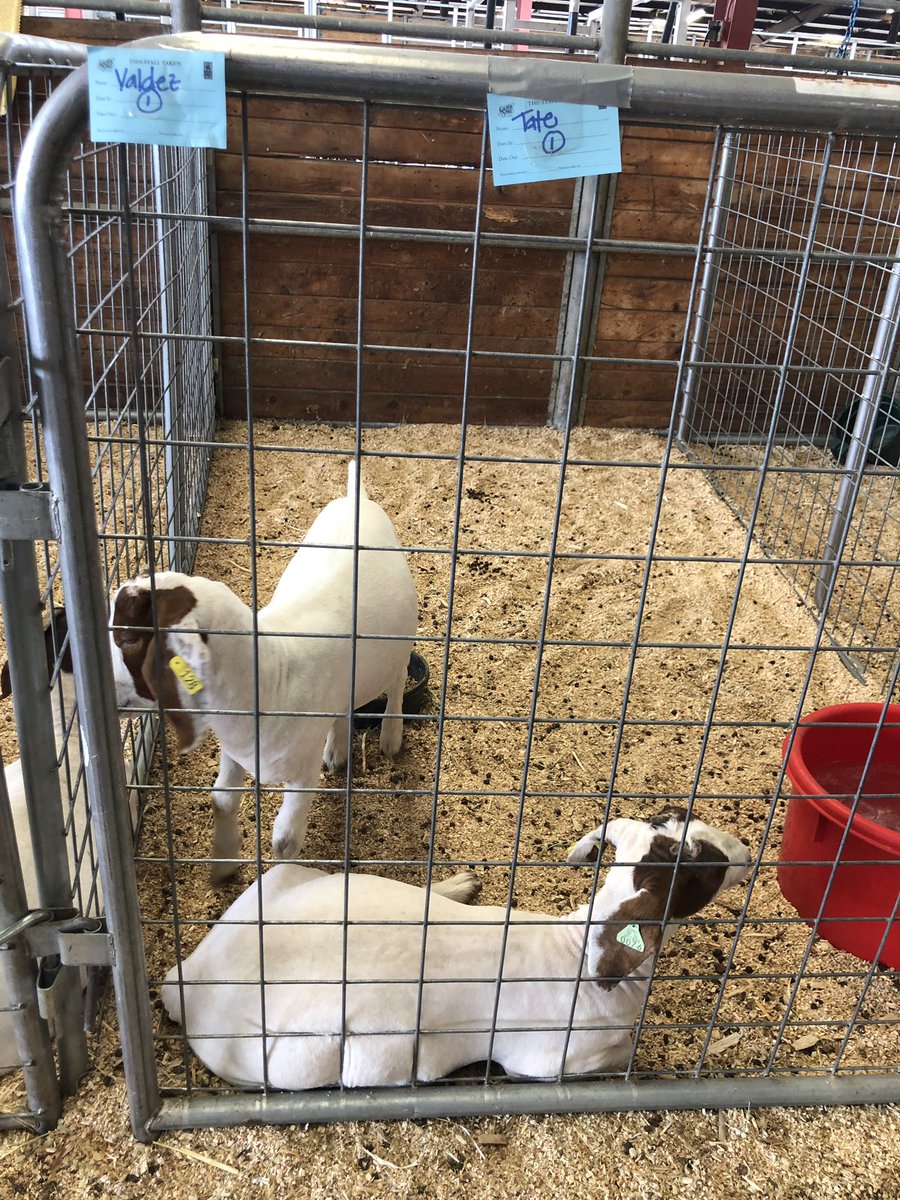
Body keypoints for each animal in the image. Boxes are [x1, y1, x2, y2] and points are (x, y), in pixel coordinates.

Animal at [109, 462, 418, 877]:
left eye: (127, 638)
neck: (272, 673)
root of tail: (356, 498)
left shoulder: (302, 775)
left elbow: (284, 839)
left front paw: (279, 883)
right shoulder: (235, 750)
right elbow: (221, 798)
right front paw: (223, 862)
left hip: (399, 642)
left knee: (397, 681)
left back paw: (390, 736)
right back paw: (337, 749)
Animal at [161, 807, 752, 1088]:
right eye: (700, 864)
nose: (747, 849)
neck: (577, 952)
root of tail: (189, 976)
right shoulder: (545, 1062)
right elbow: (624, 1055)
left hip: (295, 878)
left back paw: (456, 886)